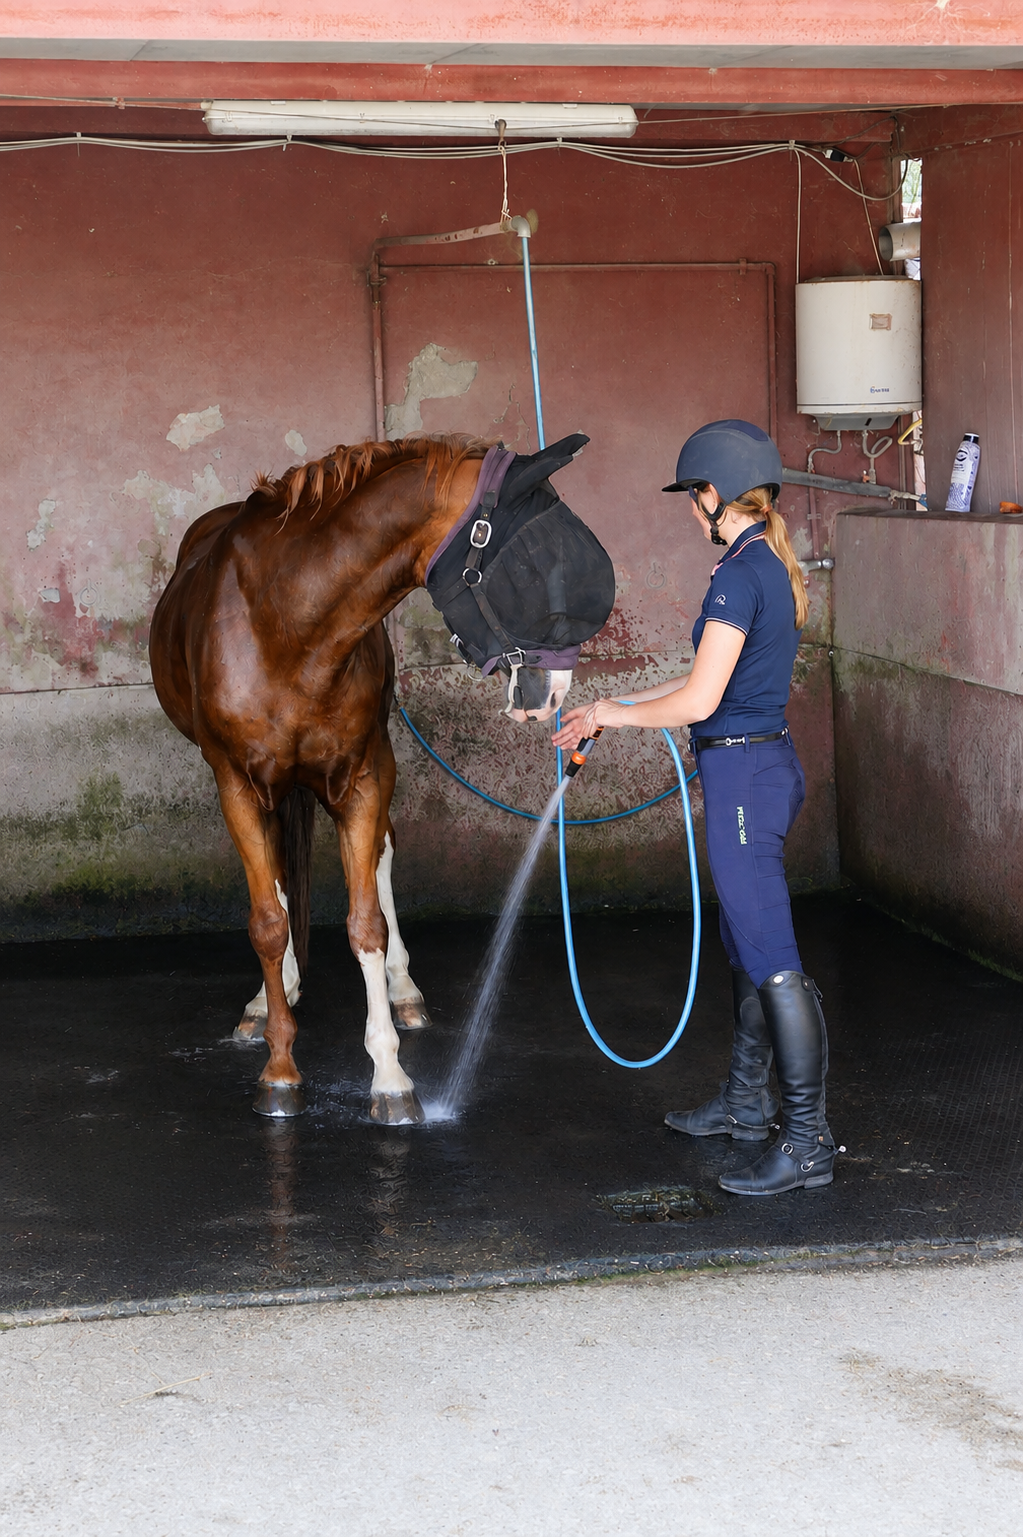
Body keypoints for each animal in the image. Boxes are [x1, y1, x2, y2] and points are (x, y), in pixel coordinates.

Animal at [149, 434, 574, 1125]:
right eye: (532, 567)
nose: (554, 687)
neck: (290, 623)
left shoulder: (361, 777)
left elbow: (365, 920)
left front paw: (391, 1077)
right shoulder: (235, 783)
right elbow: (268, 921)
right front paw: (280, 1068)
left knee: (382, 852)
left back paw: (402, 990)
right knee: (278, 881)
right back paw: (272, 997)